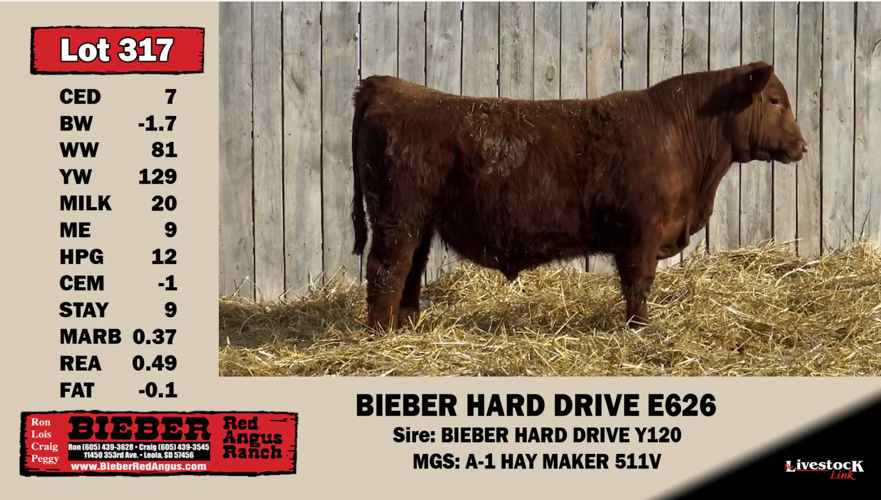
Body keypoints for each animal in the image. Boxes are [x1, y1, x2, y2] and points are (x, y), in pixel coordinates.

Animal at [349, 61, 807, 332]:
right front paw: (641, 331)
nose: (802, 146)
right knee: (386, 269)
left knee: (410, 270)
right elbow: (638, 284)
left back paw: (407, 325)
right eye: (774, 99)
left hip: (419, 220)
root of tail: (386, 85)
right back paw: (381, 334)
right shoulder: (642, 231)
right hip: (397, 215)